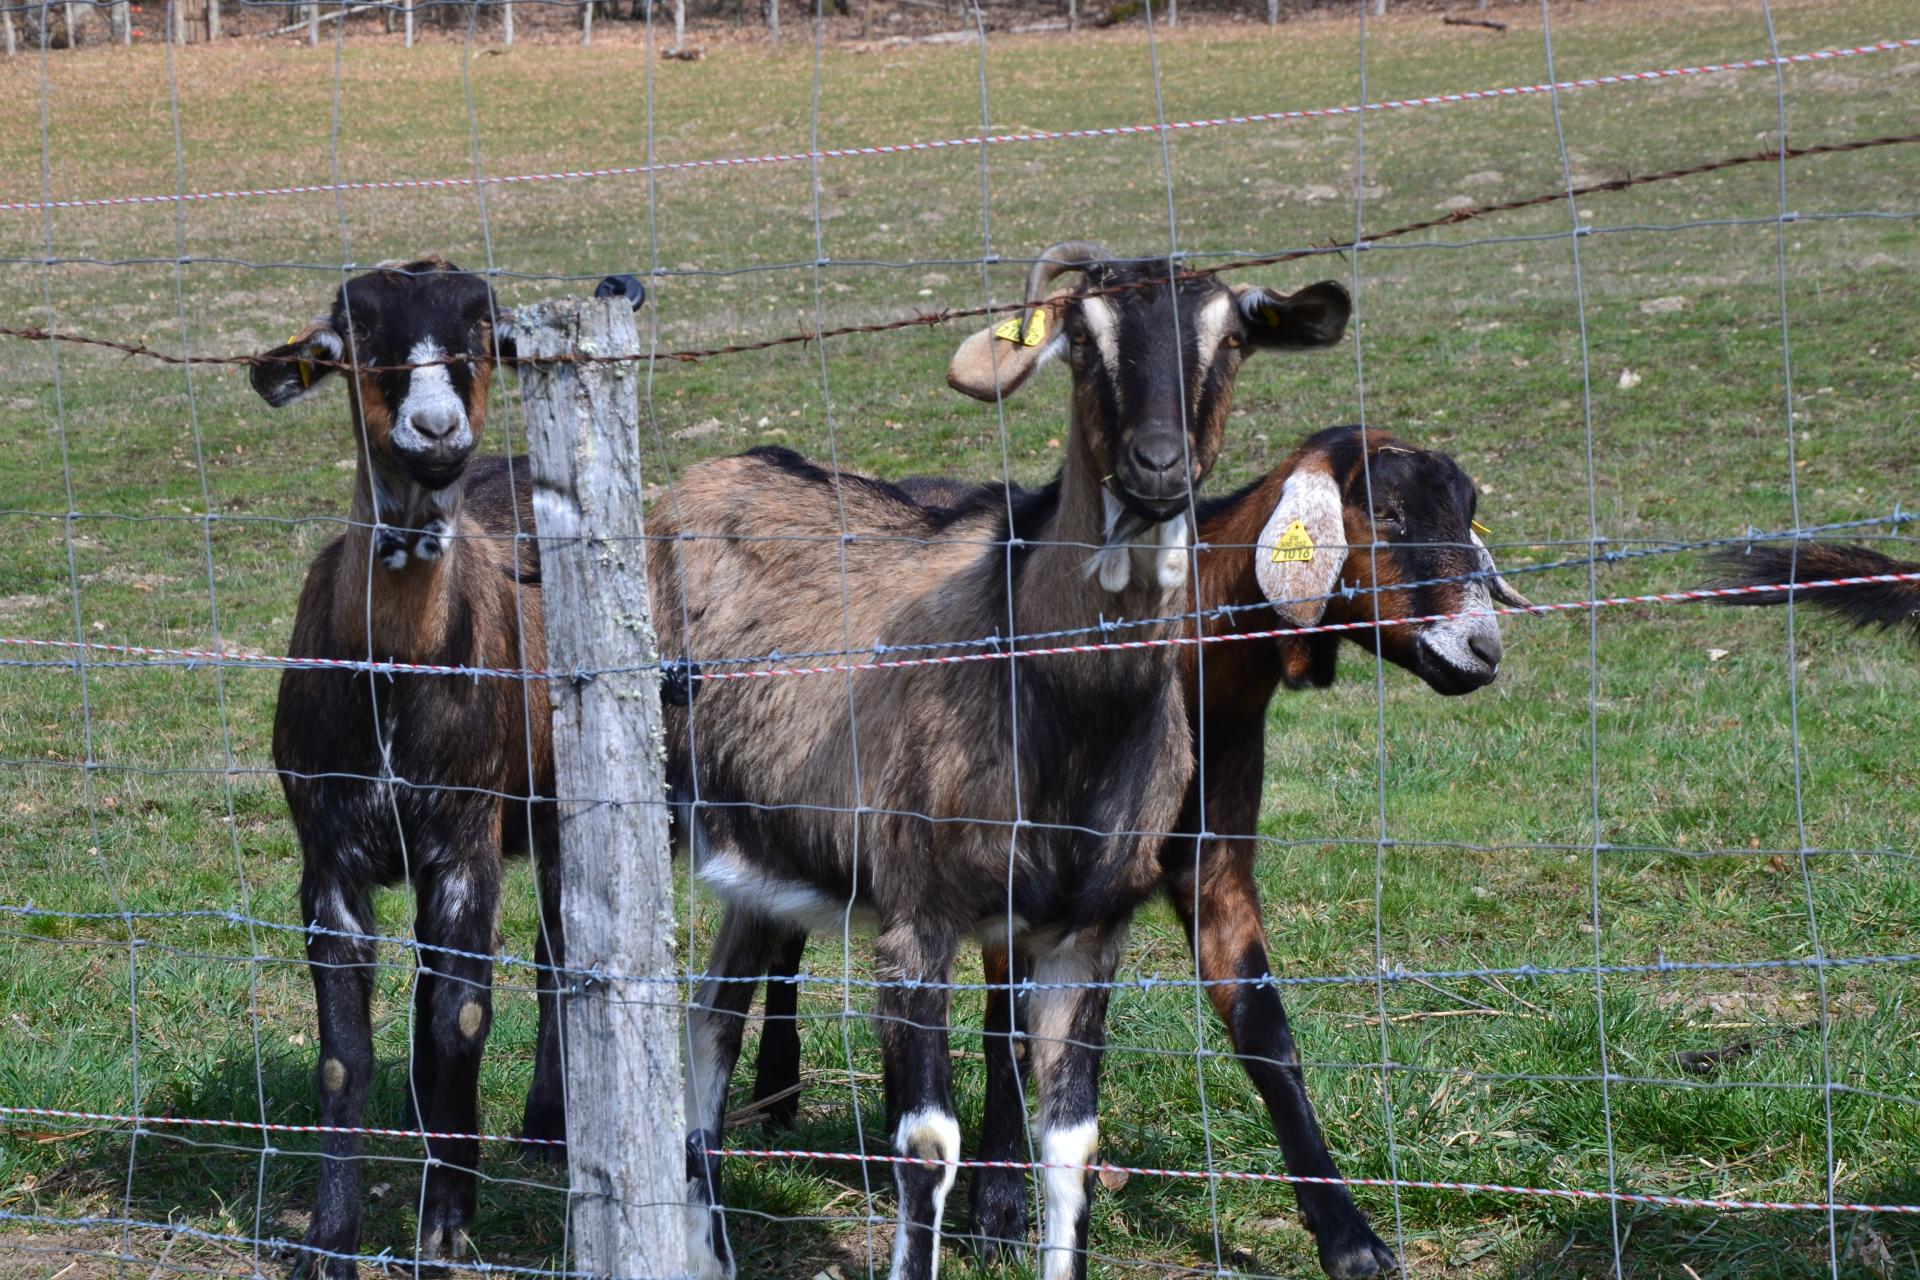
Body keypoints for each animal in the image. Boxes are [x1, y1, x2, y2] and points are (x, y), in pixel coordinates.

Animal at [648, 242, 1351, 1280]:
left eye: (1230, 339)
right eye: (1084, 339)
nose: (1157, 467)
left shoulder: (1086, 936)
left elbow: (1071, 1150)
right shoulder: (917, 920)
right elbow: (927, 1147)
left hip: (757, 853)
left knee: (710, 1020)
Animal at [744, 426, 1528, 1274]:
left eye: (1467, 512)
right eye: (1385, 513)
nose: (1481, 650)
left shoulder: (1213, 864)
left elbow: (1264, 1031)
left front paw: (1347, 1234)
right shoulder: (1018, 865)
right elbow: (1006, 1029)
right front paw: (999, 1207)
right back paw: (776, 1087)